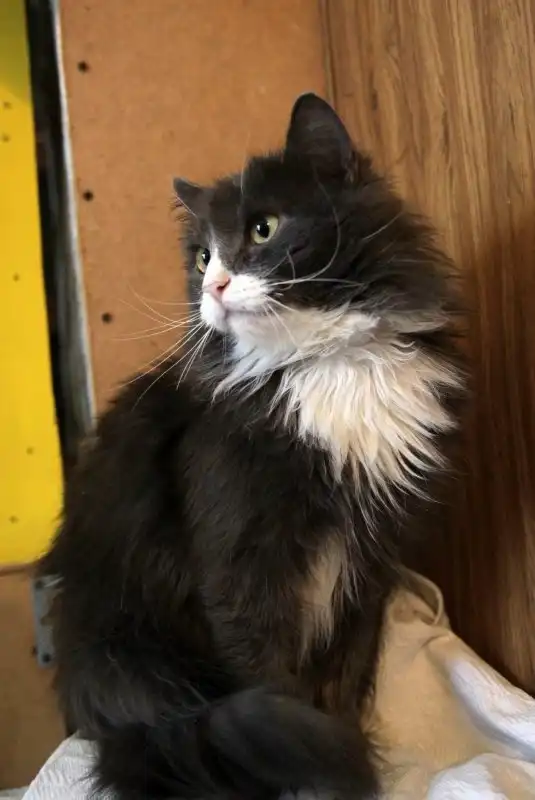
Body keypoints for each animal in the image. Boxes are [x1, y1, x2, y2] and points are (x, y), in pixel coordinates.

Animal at [40, 94, 463, 800]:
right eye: (201, 259)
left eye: (263, 230)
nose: (213, 286)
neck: (320, 365)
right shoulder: (241, 562)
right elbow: (278, 693)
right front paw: (323, 778)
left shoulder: (370, 565)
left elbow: (343, 682)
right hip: (136, 653)